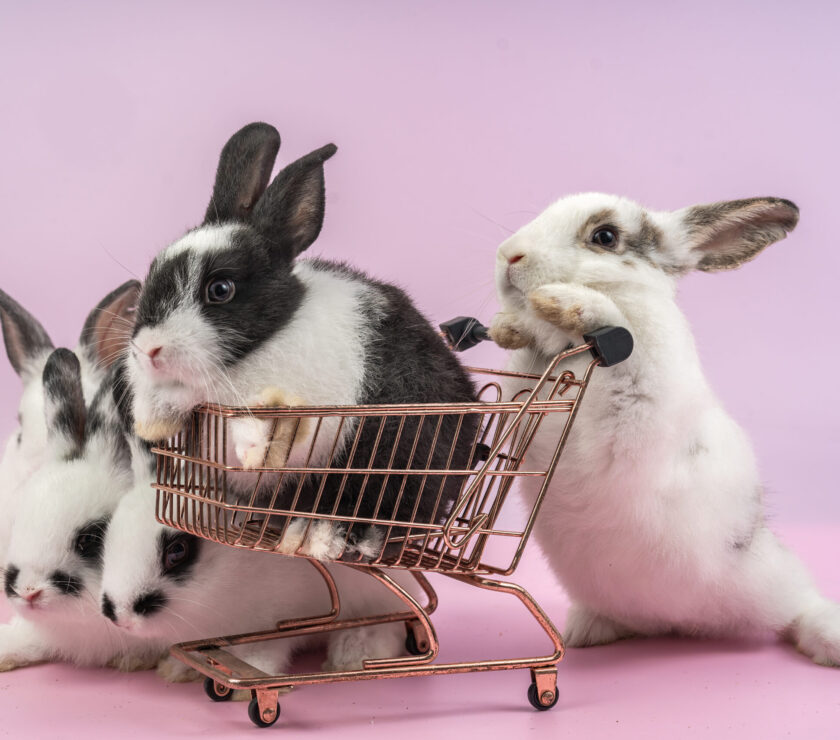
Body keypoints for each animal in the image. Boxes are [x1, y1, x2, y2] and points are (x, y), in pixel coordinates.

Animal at [124, 122, 479, 561]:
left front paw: (251, 447)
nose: (149, 349)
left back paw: (317, 534)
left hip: (392, 462)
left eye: (220, 289)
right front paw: (152, 420)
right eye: (153, 268)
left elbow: (263, 432)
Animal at [488, 192, 840, 667]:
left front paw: (564, 303)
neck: (571, 350)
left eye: (605, 236)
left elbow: (619, 328)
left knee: (800, 609)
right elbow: (521, 365)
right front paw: (511, 325)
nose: (509, 255)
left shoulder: (642, 390)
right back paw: (586, 630)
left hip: (775, 579)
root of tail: (684, 621)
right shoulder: (523, 391)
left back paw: (829, 639)